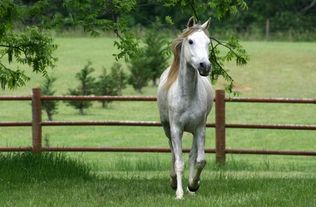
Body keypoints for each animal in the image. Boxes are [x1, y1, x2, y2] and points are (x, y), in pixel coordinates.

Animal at [157, 17, 214, 199]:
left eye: (208, 42)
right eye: (190, 41)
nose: (205, 66)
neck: (187, 95)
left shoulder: (200, 128)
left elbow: (199, 160)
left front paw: (193, 185)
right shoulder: (176, 129)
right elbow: (179, 161)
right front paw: (179, 193)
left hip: (195, 131)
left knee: (192, 155)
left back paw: (190, 188)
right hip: (167, 129)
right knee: (173, 154)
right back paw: (174, 181)